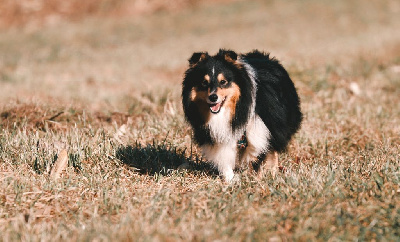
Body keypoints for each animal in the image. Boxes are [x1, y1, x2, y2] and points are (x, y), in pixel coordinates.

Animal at [183, 49, 302, 182]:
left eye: (223, 82)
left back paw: (273, 173)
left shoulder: (260, 131)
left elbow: (260, 158)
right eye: (204, 82)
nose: (213, 97)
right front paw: (230, 180)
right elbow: (225, 158)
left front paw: (257, 180)